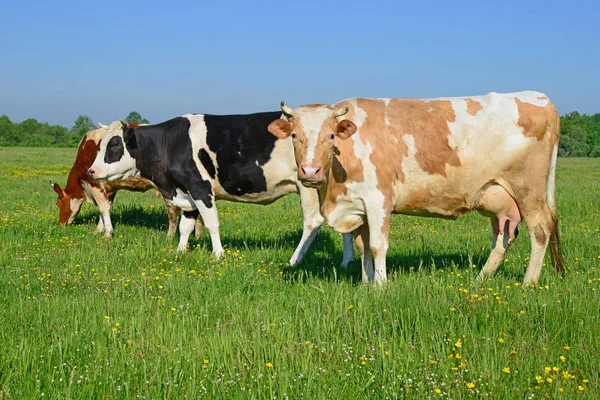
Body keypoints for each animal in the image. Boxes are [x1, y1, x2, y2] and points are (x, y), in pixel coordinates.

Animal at [52, 125, 202, 238]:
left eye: (58, 203)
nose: (60, 225)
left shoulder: (95, 184)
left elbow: (103, 208)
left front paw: (107, 233)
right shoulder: (109, 188)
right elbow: (106, 208)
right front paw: (100, 229)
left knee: (173, 212)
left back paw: (169, 237)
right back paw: (198, 236)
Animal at [86, 112, 354, 266]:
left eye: (114, 145)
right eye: (100, 145)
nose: (91, 171)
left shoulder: (200, 187)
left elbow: (212, 223)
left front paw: (218, 254)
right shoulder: (187, 191)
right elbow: (186, 226)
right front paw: (180, 251)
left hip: (308, 185)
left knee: (313, 221)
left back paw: (294, 261)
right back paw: (346, 261)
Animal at [270, 91, 564, 284]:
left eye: (331, 135)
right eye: (294, 136)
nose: (310, 171)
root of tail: (539, 98)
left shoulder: (378, 200)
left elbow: (377, 245)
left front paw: (379, 286)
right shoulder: (357, 206)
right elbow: (363, 246)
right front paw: (365, 283)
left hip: (529, 190)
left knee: (539, 230)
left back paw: (528, 282)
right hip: (498, 196)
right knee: (503, 235)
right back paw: (482, 278)